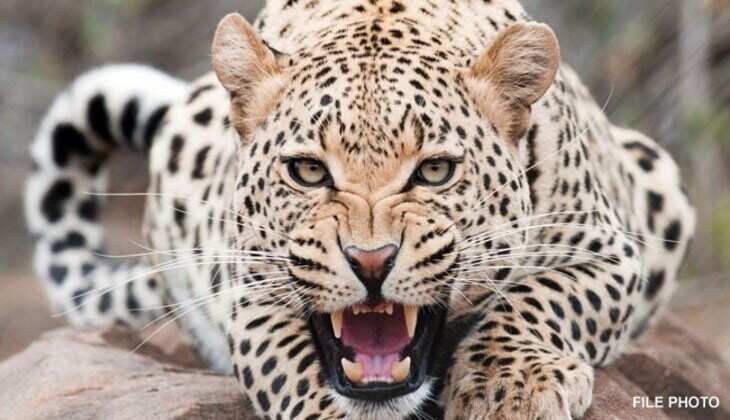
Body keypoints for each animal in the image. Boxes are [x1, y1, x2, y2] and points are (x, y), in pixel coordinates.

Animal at [26, 1, 696, 419]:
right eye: (307, 171)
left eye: (434, 171)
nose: (371, 261)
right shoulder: (251, 294)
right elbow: (295, 375)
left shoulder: (608, 249)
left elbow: (542, 299)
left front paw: (510, 389)